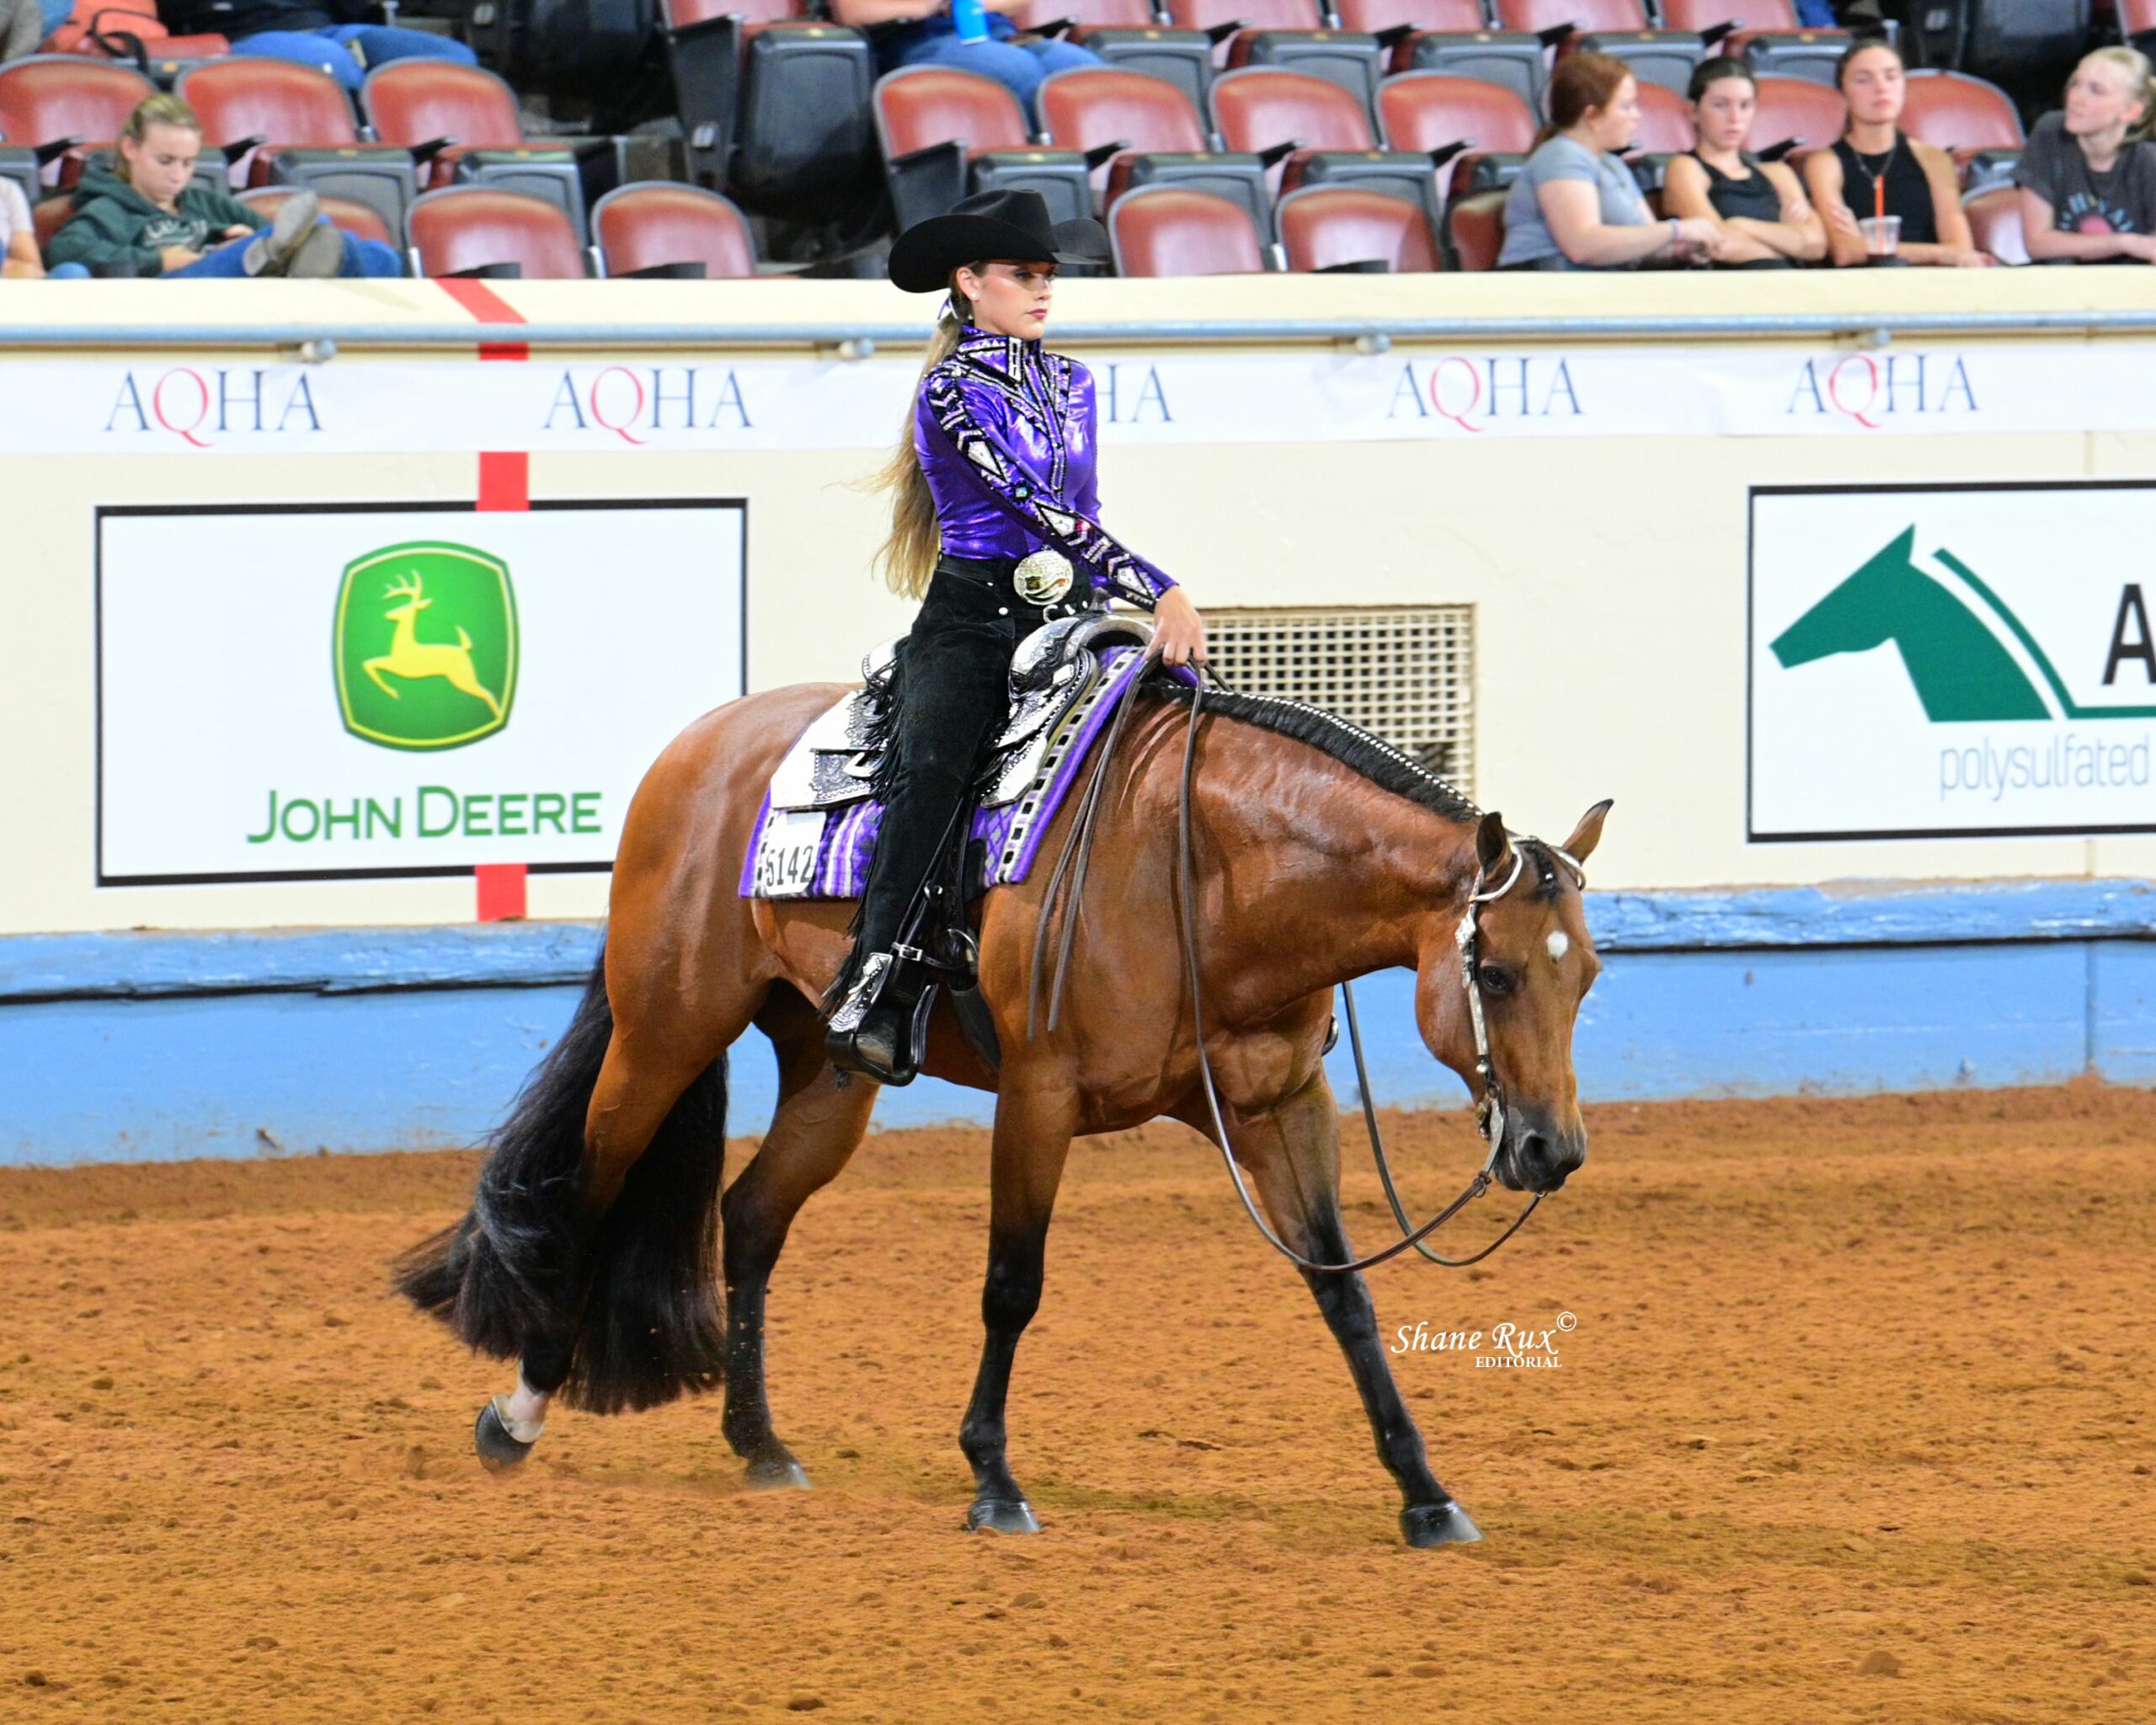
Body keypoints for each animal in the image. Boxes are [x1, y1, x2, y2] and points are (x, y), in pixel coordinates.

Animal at [401, 668, 1621, 1552]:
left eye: (1590, 976)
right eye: (1496, 972)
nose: (1550, 1148)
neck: (1205, 873)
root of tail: (695, 750)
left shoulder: (1280, 1106)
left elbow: (1344, 1295)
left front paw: (1425, 1491)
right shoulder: (1040, 1097)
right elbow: (1011, 1285)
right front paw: (992, 1479)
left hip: (830, 1072)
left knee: (749, 1217)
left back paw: (761, 1445)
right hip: (664, 1029)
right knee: (593, 1187)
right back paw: (520, 1413)